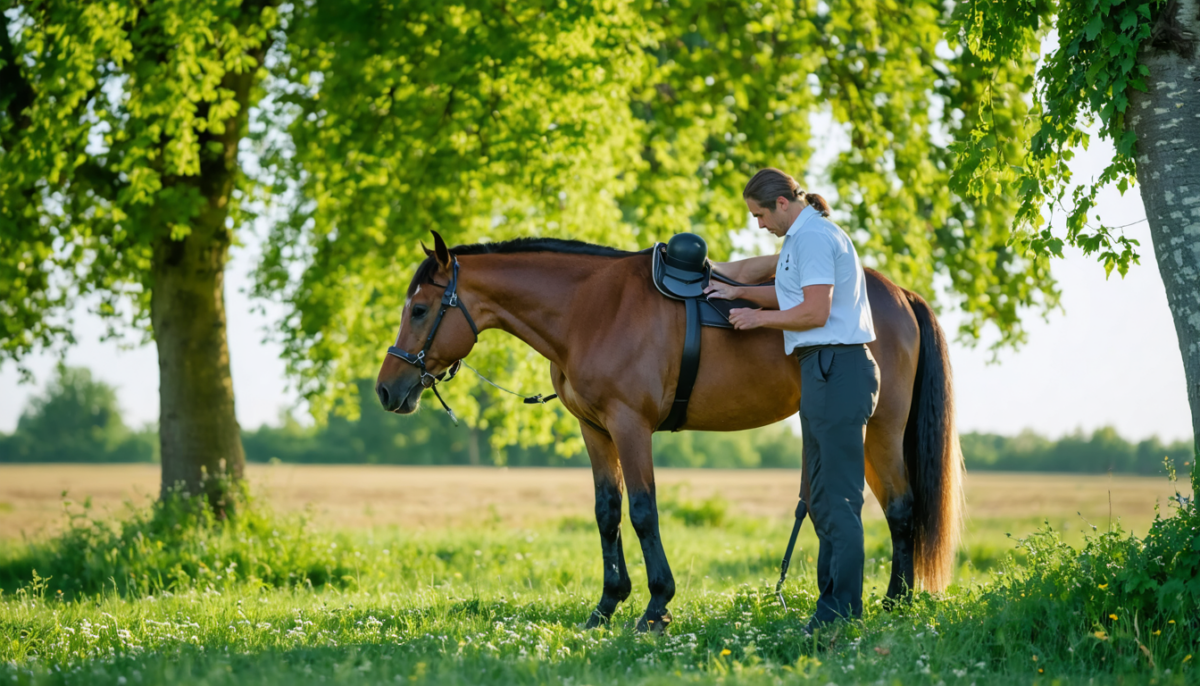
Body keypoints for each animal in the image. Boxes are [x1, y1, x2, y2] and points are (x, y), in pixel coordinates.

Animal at [375, 230, 963, 632]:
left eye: (420, 309)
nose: (386, 389)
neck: (590, 309)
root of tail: (896, 292)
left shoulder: (630, 427)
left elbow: (642, 512)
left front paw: (656, 605)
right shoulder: (595, 431)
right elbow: (607, 514)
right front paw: (607, 605)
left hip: (880, 427)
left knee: (901, 508)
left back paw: (894, 602)